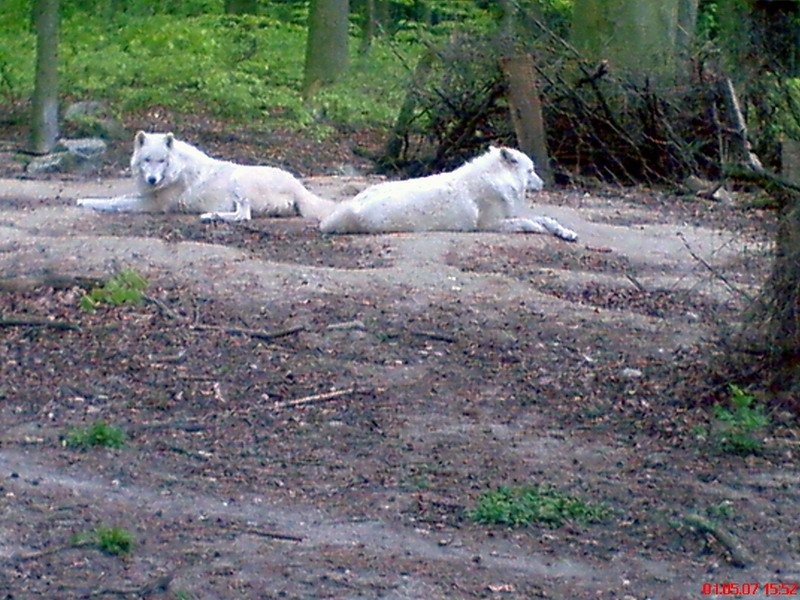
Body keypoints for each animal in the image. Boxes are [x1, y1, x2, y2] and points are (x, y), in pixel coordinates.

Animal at [76, 131, 334, 223]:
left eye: (162, 161)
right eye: (147, 160)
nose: (152, 180)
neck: (176, 170)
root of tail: (299, 187)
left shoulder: (153, 204)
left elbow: (115, 203)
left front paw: (89, 203)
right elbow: (116, 197)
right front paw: (83, 199)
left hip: (239, 180)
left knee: (244, 216)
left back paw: (210, 216)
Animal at [318, 146, 576, 240]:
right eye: (531, 170)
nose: (543, 183)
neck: (496, 179)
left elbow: (546, 218)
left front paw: (566, 232)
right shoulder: (491, 224)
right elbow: (529, 222)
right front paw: (540, 229)